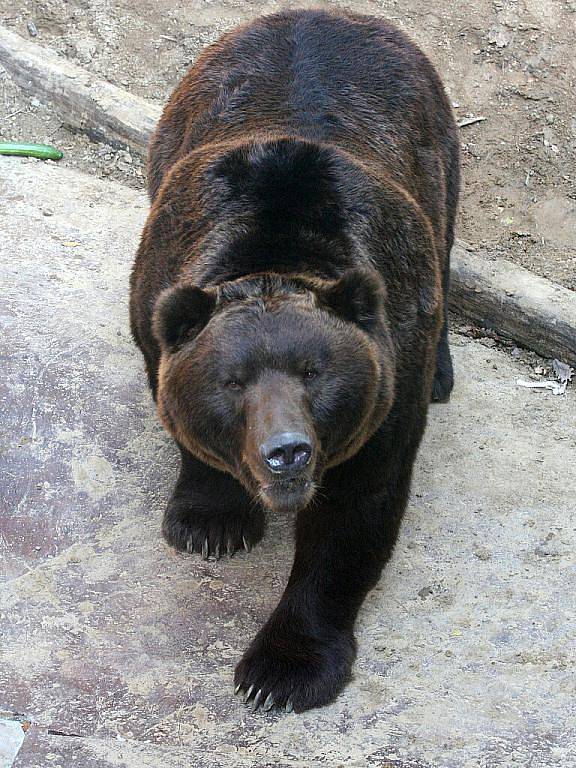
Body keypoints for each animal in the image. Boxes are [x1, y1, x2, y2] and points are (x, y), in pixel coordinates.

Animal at [130, 7, 460, 712]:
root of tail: (326, 12)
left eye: (315, 372)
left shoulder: (388, 381)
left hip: (437, 157)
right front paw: (211, 522)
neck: (276, 247)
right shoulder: (158, 295)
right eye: (232, 381)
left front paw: (282, 669)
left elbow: (353, 516)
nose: (287, 451)